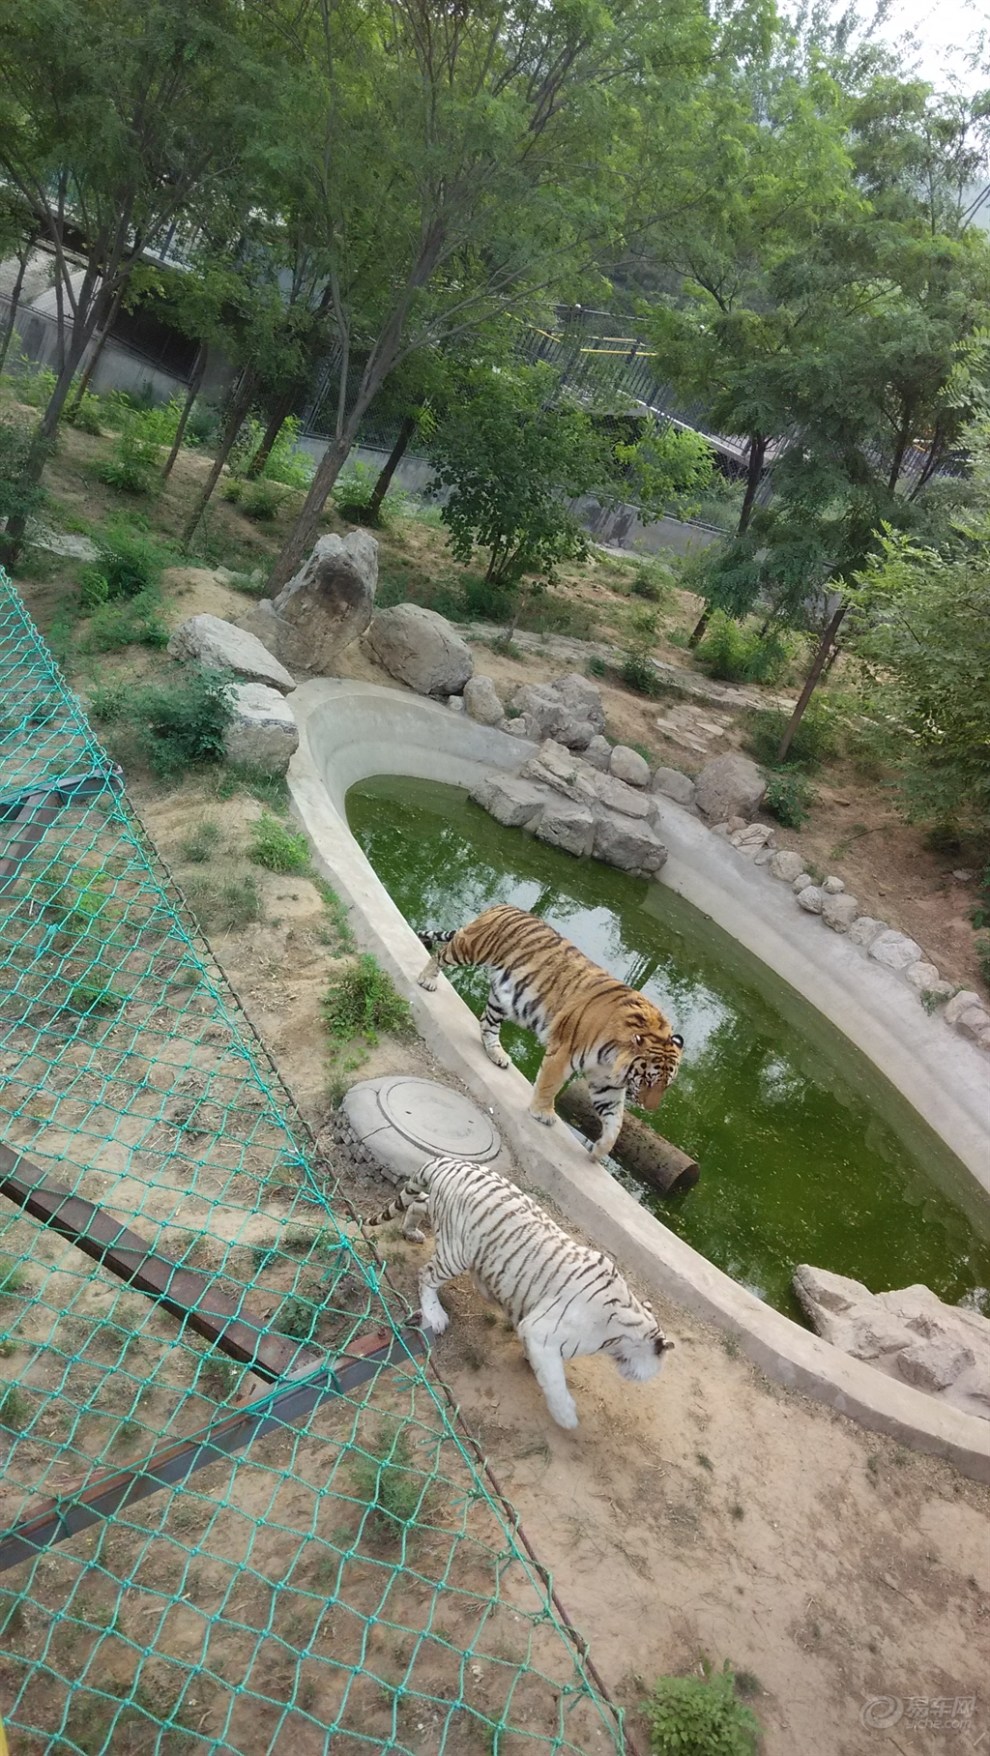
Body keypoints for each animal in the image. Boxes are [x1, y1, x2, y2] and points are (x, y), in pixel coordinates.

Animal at [363, 1151, 674, 1425]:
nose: (641, 1377)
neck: (623, 1329)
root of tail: (449, 1161)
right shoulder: (541, 1332)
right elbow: (555, 1381)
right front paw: (567, 1418)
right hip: (456, 1251)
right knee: (426, 1275)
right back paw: (435, 1316)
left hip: (442, 1216)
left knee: (418, 1202)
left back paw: (411, 1231)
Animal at [417, 906, 681, 1165]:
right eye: (648, 1080)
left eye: (665, 1085)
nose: (650, 1108)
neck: (614, 1058)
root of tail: (503, 907)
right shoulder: (564, 1052)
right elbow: (550, 1085)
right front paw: (542, 1113)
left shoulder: (606, 1082)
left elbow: (615, 1122)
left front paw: (599, 1150)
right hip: (470, 948)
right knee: (441, 954)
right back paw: (426, 979)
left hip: (503, 997)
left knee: (488, 1023)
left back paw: (496, 1054)